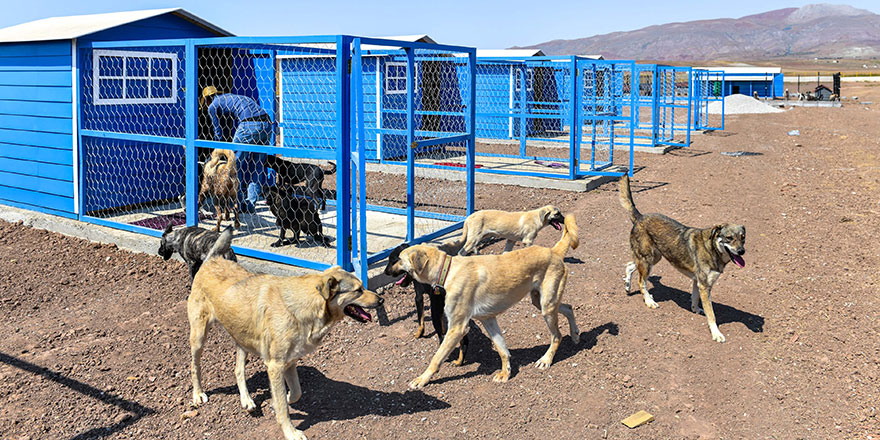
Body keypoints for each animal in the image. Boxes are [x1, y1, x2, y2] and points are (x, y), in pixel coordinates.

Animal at [189, 230, 382, 440]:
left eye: (363, 286)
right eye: (358, 290)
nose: (381, 299)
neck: (303, 306)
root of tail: (212, 260)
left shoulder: (289, 362)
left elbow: (295, 392)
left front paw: (283, 400)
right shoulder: (275, 366)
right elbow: (283, 407)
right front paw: (291, 432)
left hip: (242, 337)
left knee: (238, 370)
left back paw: (246, 400)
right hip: (199, 337)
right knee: (195, 367)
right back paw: (198, 394)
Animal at [386, 214, 580, 388]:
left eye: (398, 258)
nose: (387, 272)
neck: (448, 271)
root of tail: (553, 251)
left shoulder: (457, 328)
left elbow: (437, 357)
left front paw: (422, 379)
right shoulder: (488, 319)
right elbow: (502, 349)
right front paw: (505, 373)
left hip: (547, 306)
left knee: (557, 335)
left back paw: (546, 359)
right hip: (539, 301)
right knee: (569, 308)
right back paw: (576, 334)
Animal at [616, 174, 744, 342]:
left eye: (743, 238)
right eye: (729, 238)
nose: (742, 251)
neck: (712, 248)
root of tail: (640, 217)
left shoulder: (698, 282)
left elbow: (695, 298)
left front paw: (696, 309)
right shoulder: (705, 286)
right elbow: (712, 315)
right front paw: (716, 333)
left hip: (653, 258)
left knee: (630, 266)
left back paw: (628, 286)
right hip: (647, 260)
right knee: (641, 281)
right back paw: (649, 301)